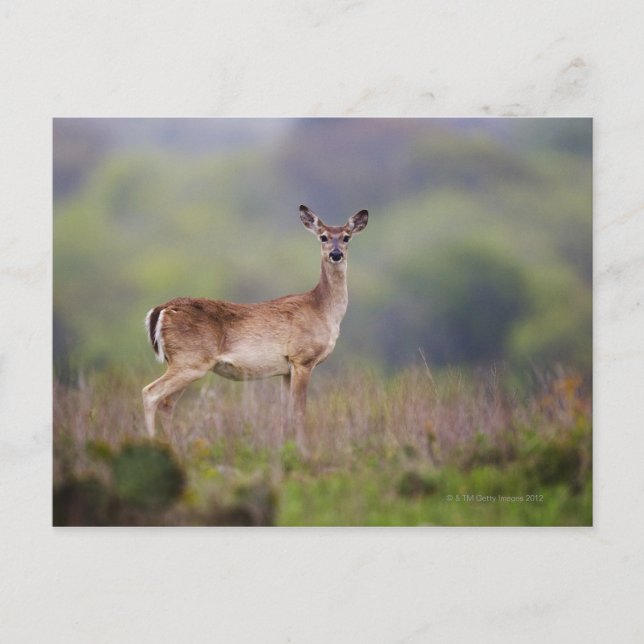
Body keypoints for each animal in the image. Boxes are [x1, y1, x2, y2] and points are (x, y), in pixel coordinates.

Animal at [142, 205, 368, 451]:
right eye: (323, 237)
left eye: (346, 237)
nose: (335, 254)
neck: (323, 310)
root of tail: (161, 310)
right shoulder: (303, 358)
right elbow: (300, 412)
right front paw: (302, 451)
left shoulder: (286, 369)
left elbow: (285, 414)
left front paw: (284, 448)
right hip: (190, 360)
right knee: (150, 394)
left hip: (183, 363)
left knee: (166, 403)